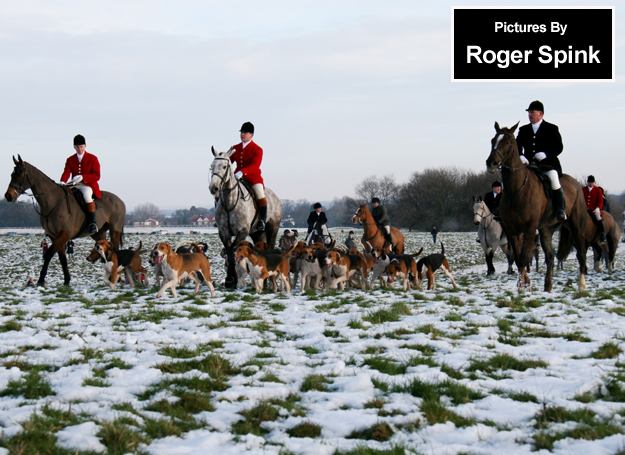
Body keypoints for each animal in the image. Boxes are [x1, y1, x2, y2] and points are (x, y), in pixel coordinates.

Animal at [208, 147, 282, 288]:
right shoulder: (223, 233)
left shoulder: (242, 231)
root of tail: (275, 197)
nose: (213, 188)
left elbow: (232, 250)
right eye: (211, 166)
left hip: (272, 228)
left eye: (224, 166)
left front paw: (231, 279)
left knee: (270, 246)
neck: (229, 202)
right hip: (256, 233)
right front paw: (230, 279)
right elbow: (228, 250)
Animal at [486, 122, 588, 292]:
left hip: (576, 226)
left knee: (581, 254)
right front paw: (525, 283)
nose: (491, 163)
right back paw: (547, 287)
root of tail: (576, 184)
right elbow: (518, 258)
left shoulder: (530, 227)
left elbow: (523, 258)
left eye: (507, 142)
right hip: (546, 229)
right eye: (493, 140)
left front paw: (523, 285)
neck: (516, 189)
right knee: (550, 257)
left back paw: (581, 286)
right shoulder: (512, 229)